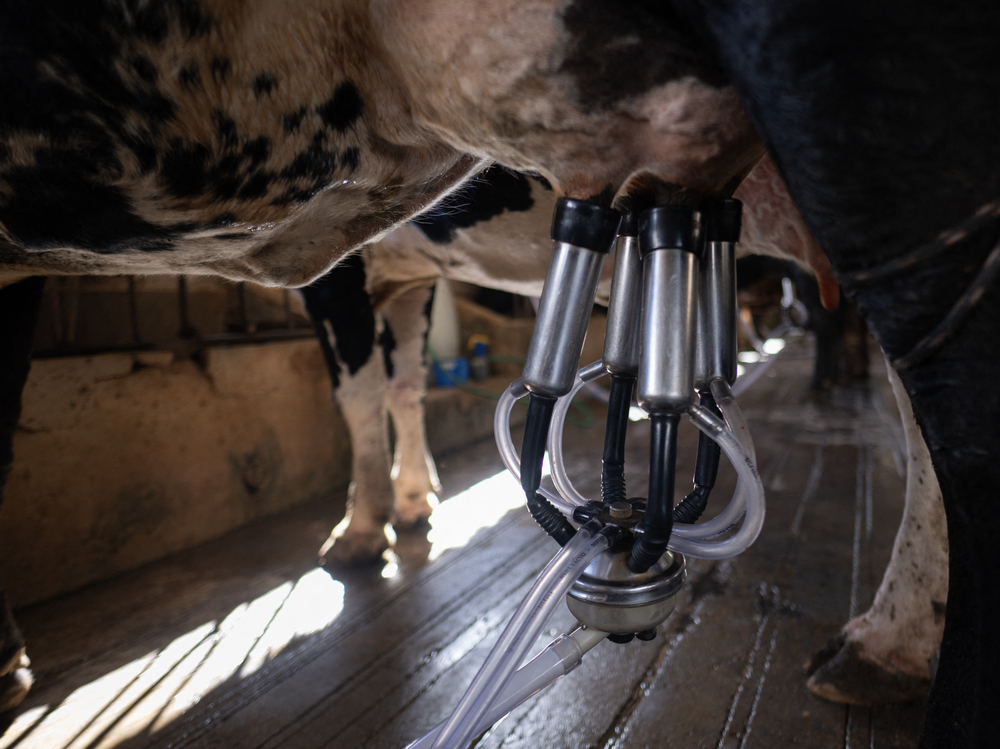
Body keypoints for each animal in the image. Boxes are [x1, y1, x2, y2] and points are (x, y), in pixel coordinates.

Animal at [0, 0, 996, 744]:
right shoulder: (404, 274)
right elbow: (402, 385)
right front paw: (412, 501)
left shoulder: (337, 271)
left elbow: (355, 392)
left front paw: (359, 529)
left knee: (949, 418)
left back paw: (890, 646)